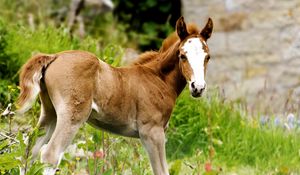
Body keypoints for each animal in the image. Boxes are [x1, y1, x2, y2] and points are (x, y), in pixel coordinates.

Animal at [17, 16, 213, 174]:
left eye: (207, 57)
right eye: (182, 55)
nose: (198, 87)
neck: (158, 79)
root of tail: (54, 57)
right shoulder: (152, 132)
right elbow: (161, 171)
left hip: (50, 112)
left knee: (29, 151)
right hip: (72, 116)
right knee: (50, 154)